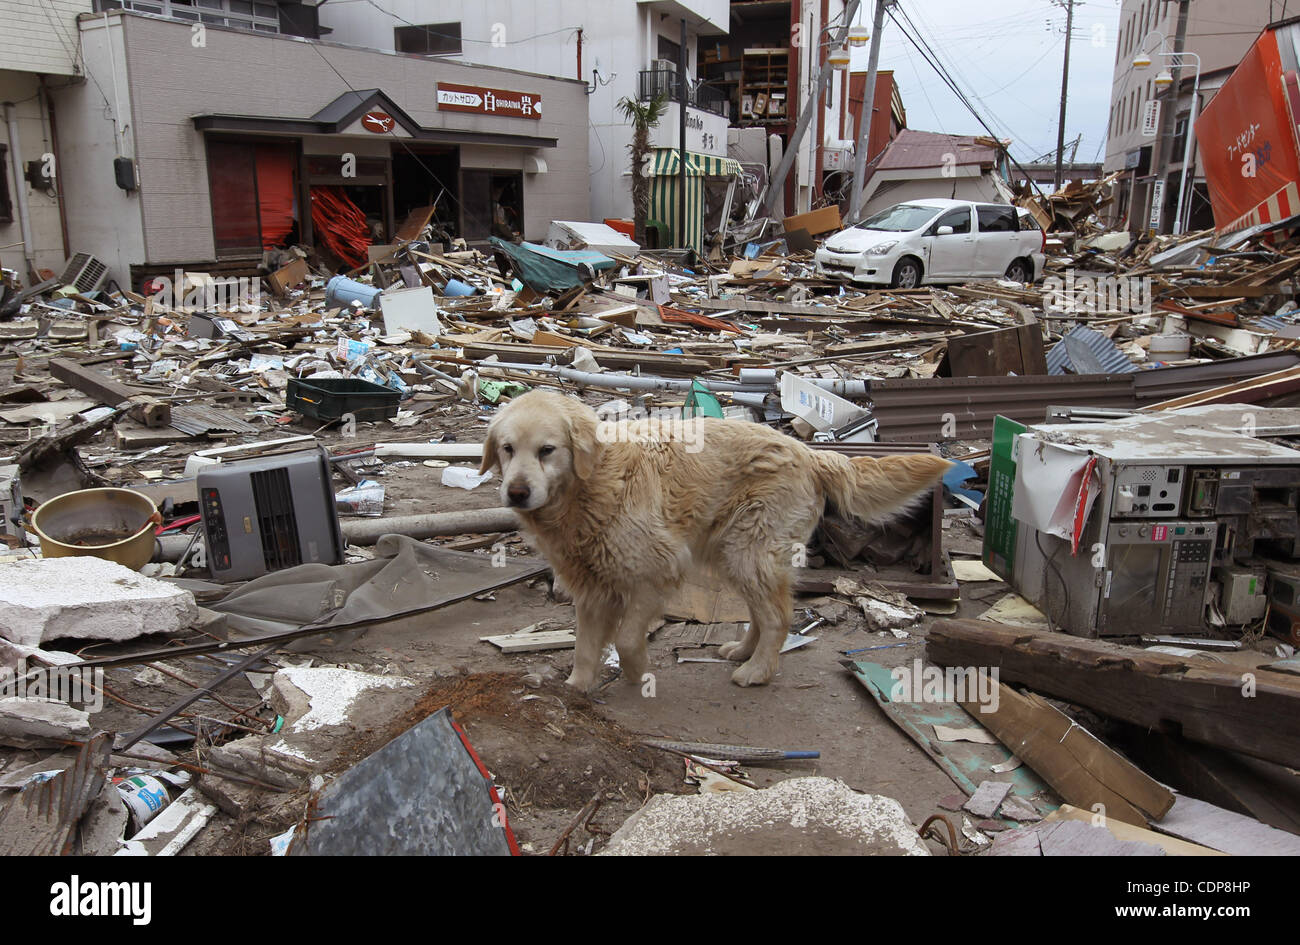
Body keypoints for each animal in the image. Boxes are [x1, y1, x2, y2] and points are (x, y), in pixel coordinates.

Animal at [483, 387, 951, 691]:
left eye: (547, 450)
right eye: (507, 448)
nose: (516, 492)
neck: (591, 484)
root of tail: (808, 452)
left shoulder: (656, 573)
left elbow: (627, 638)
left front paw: (636, 675)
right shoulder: (591, 586)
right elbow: (584, 644)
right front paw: (577, 685)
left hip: (750, 551)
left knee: (778, 616)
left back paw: (757, 672)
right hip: (735, 555)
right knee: (762, 614)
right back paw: (743, 652)